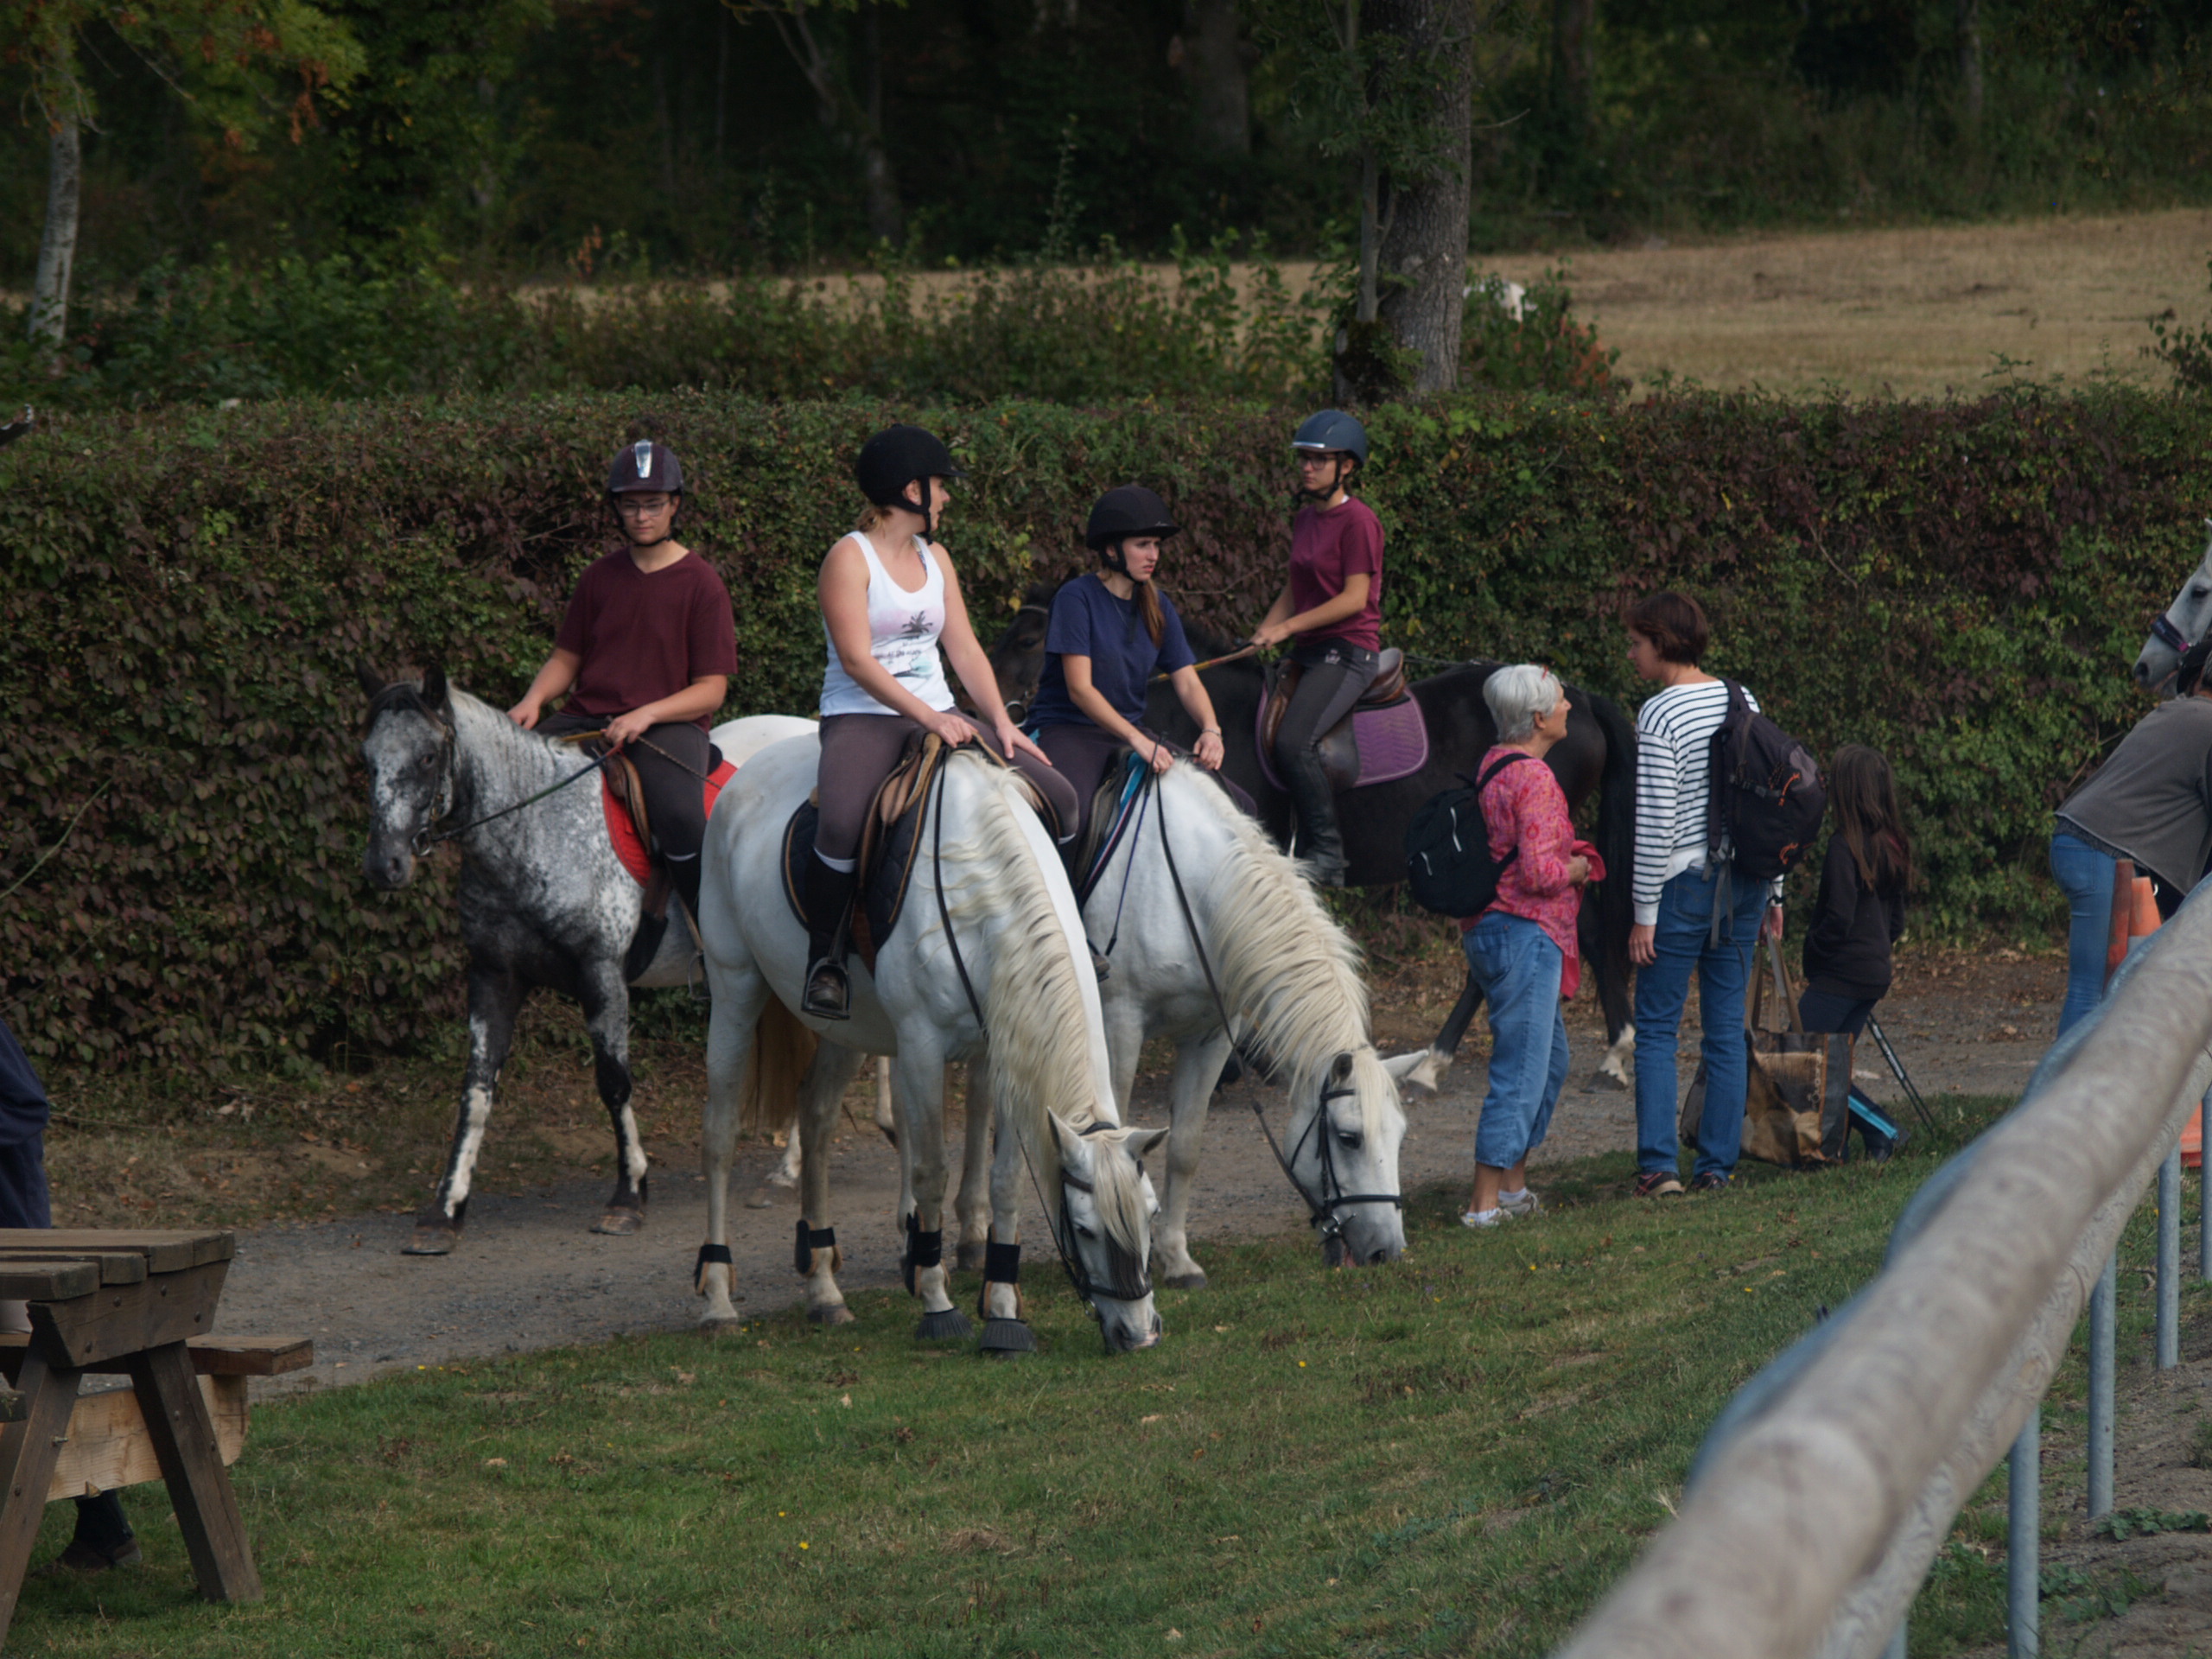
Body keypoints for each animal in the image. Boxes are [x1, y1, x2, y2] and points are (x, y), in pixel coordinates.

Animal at [698, 739, 1167, 1353]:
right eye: (1086, 1229)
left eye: (1152, 1215)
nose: (1139, 1334)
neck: (982, 892)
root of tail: (745, 771)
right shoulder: (921, 1048)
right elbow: (930, 1173)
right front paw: (938, 1302)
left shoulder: (1006, 1052)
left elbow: (1006, 1181)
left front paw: (1003, 1311)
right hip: (735, 986)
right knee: (721, 1133)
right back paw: (717, 1297)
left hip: (851, 1027)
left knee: (817, 1114)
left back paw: (824, 1290)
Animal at [946, 760, 1397, 1292]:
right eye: (1349, 1138)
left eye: (1400, 1136)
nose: (1388, 1251)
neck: (1195, 892)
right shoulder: (1122, 1022)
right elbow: (1116, 1126)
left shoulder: (1213, 1035)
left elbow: (1185, 1146)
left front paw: (1177, 1259)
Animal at [977, 593, 1637, 1092]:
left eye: (1030, 642)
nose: (983, 708)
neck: (1216, 717)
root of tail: (1577, 698)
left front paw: (1245, 1060)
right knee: (1577, 925)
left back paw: (1460, 1060)